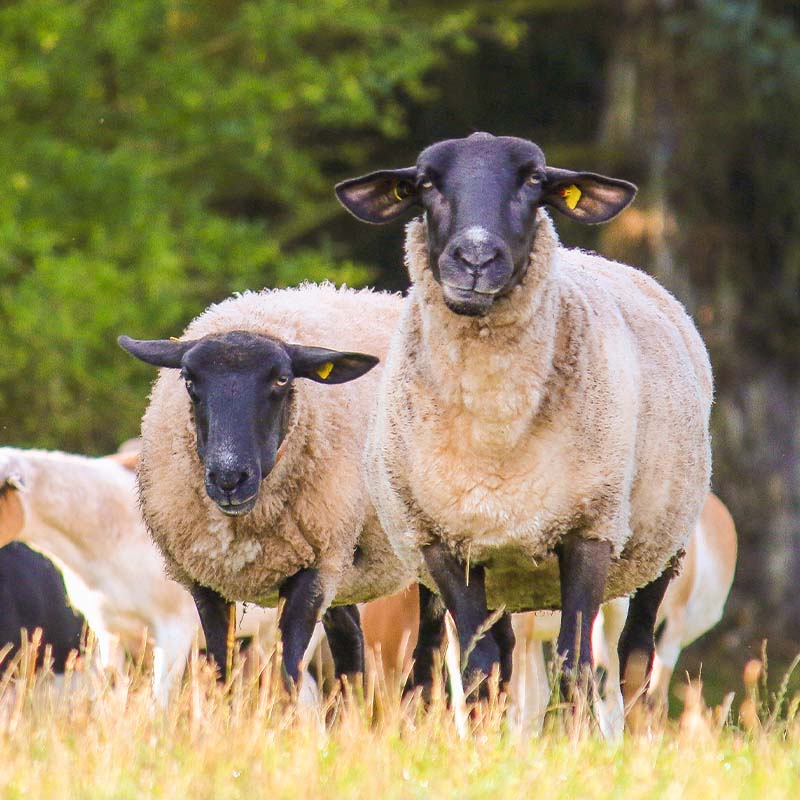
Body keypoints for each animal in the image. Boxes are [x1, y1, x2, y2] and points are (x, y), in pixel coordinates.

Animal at [120, 282, 418, 688]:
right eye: (189, 379)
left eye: (282, 379)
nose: (229, 478)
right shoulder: (206, 579)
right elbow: (221, 668)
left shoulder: (313, 569)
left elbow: (288, 671)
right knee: (350, 640)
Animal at [332, 133, 712, 708]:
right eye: (425, 184)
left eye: (534, 180)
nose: (475, 257)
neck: (496, 433)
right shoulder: (445, 543)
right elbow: (478, 666)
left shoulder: (589, 530)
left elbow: (575, 664)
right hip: (499, 566)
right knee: (489, 655)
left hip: (661, 540)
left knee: (634, 660)